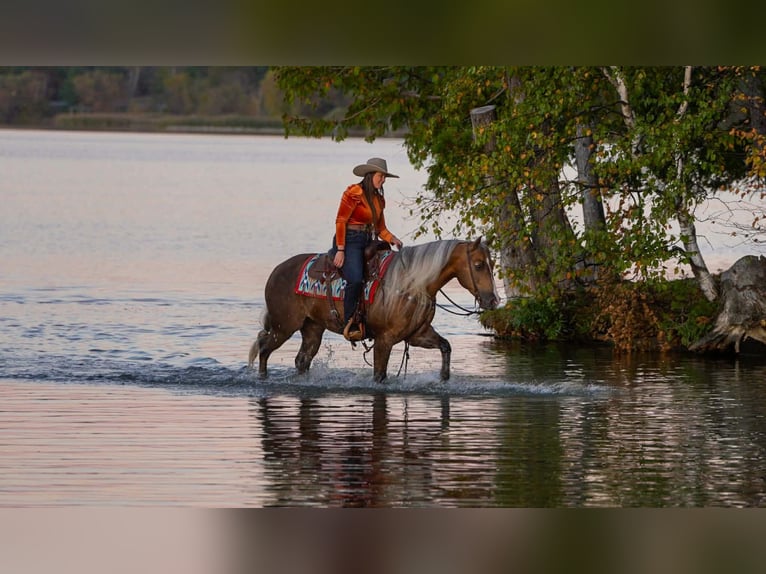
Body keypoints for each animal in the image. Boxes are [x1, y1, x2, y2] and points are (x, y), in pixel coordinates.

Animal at [248, 237, 500, 383]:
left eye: (492, 264)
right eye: (478, 265)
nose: (493, 300)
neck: (411, 284)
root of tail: (277, 271)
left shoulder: (417, 335)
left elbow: (445, 346)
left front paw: (443, 378)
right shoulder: (384, 340)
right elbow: (379, 376)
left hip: (312, 329)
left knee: (301, 360)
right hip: (283, 327)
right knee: (264, 348)